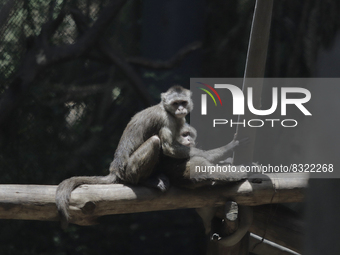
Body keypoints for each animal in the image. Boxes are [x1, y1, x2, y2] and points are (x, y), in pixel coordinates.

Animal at [57, 84, 193, 226]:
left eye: (183, 102)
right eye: (175, 103)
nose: (180, 108)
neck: (167, 110)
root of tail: (115, 170)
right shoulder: (166, 119)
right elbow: (168, 147)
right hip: (130, 170)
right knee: (155, 141)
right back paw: (145, 181)